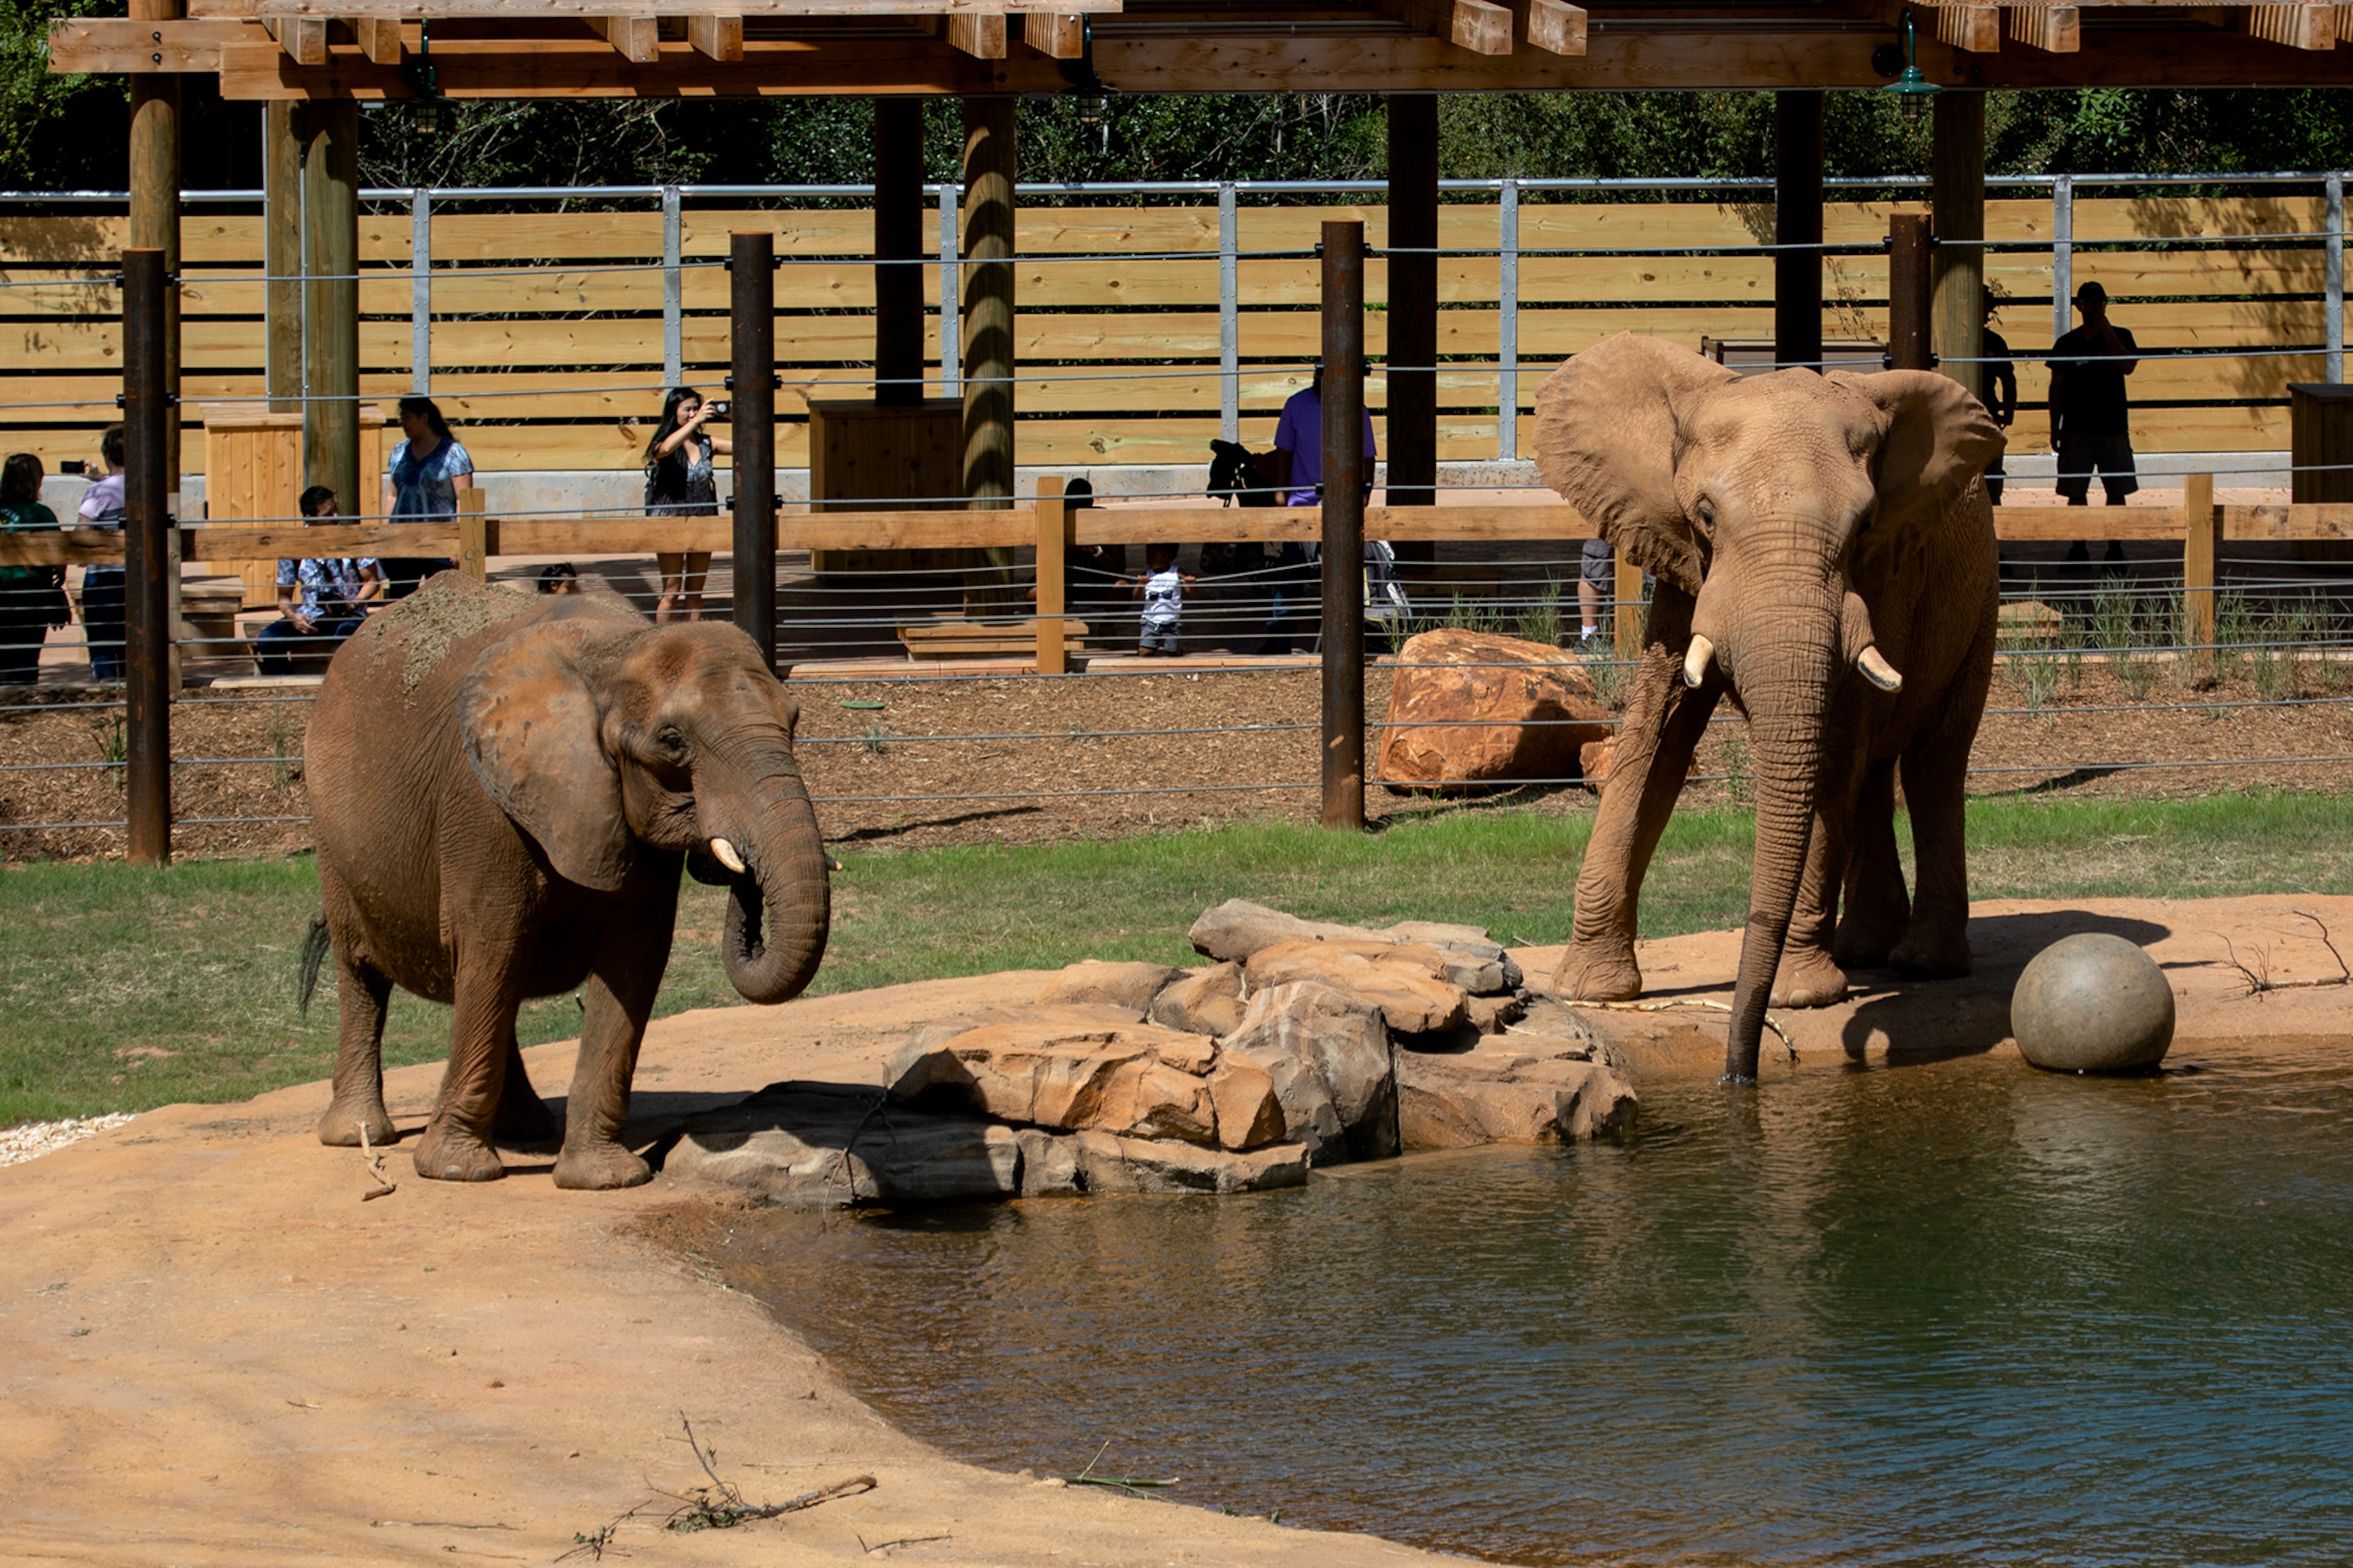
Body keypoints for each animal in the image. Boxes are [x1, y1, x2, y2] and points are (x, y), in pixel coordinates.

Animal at [300, 573, 831, 1187]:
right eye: (672, 742)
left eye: (793, 722)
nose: (732, 863)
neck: (618, 652)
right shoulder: (483, 805)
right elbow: (493, 943)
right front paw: (456, 1172)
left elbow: (634, 959)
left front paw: (604, 1179)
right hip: (331, 831)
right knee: (367, 972)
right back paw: (360, 1133)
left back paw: (526, 1127)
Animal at [1535, 334, 2003, 1080]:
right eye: (1705, 515)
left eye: (1863, 526)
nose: (1740, 1072)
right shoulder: (1684, 563)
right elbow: (1658, 736)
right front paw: (1590, 989)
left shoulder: (1884, 572)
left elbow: (1834, 749)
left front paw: (1801, 995)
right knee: (1876, 773)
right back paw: (1863, 951)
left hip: (1981, 595)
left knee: (1933, 763)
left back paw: (1920, 963)